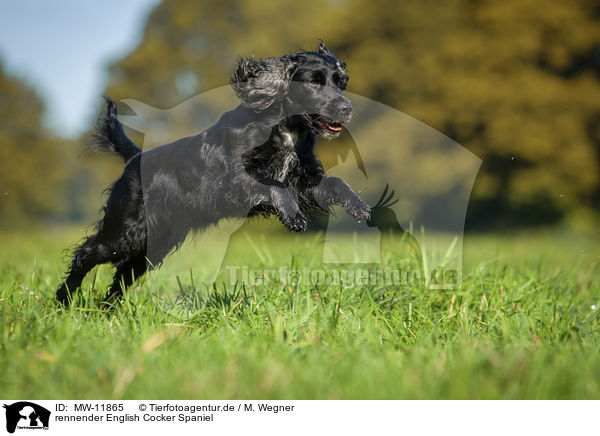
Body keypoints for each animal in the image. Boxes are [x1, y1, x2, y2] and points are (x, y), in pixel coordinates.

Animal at [56, 42, 370, 304]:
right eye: (314, 82)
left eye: (340, 82)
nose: (347, 108)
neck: (284, 131)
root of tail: (135, 158)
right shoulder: (234, 180)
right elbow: (273, 186)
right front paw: (293, 216)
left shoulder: (304, 180)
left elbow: (336, 182)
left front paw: (359, 206)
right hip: (127, 229)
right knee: (86, 253)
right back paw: (63, 301)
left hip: (156, 241)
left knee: (123, 274)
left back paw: (110, 310)